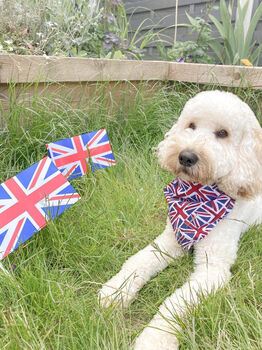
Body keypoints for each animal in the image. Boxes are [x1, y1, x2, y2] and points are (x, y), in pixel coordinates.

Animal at [98, 91, 262, 350]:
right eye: (191, 125)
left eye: (223, 133)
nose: (186, 156)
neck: (197, 198)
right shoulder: (169, 241)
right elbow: (137, 262)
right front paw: (116, 291)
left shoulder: (212, 270)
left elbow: (176, 303)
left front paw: (154, 339)